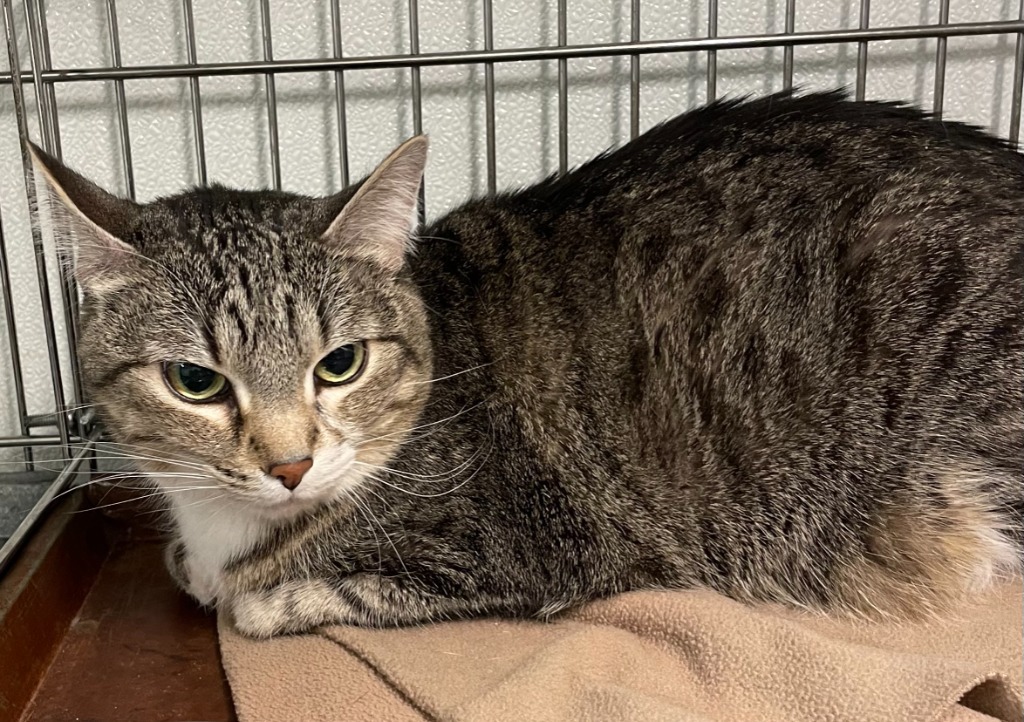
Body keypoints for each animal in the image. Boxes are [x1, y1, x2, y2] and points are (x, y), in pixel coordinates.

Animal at [28, 90, 1019, 634]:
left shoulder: (538, 553)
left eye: (339, 363)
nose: (290, 465)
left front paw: (255, 595)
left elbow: (295, 595)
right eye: (195, 382)